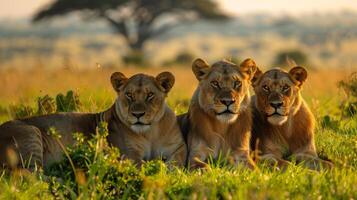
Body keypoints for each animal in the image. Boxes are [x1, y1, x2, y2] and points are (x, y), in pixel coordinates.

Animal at [0, 71, 184, 169]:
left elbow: (177, 160)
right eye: (129, 95)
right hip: (30, 133)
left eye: (150, 95)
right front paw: (158, 167)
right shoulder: (128, 155)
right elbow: (143, 166)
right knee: (28, 174)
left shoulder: (179, 147)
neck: (150, 133)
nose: (137, 114)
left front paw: (168, 169)